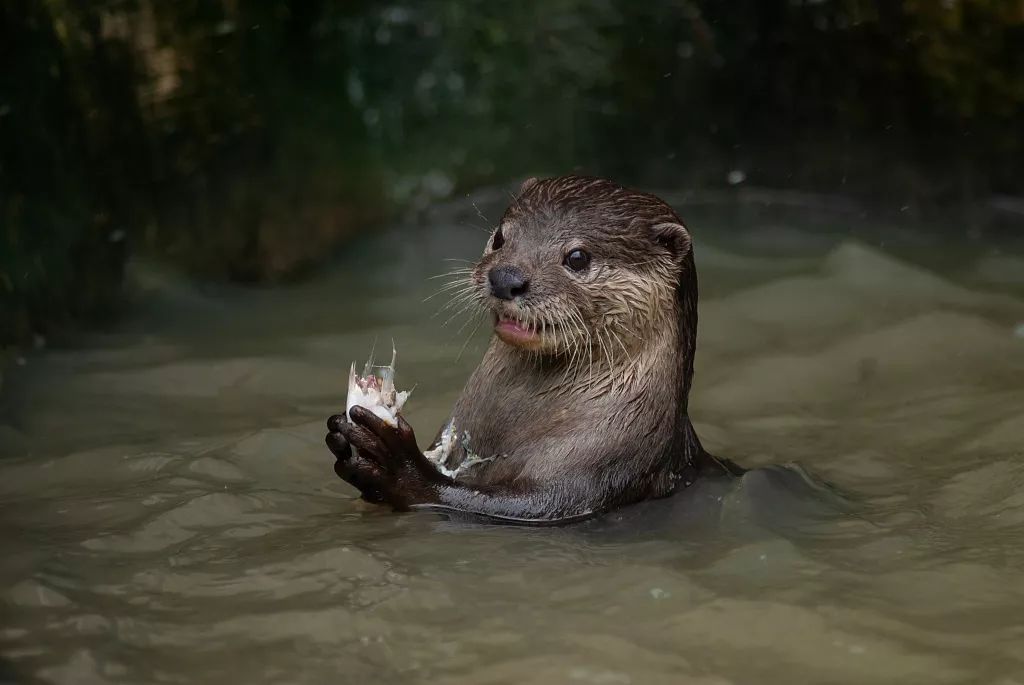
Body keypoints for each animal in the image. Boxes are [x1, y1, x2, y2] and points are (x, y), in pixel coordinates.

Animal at [323, 174, 741, 520]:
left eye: (578, 257)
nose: (505, 277)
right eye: (501, 237)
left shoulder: (601, 469)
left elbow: (513, 505)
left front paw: (398, 466)